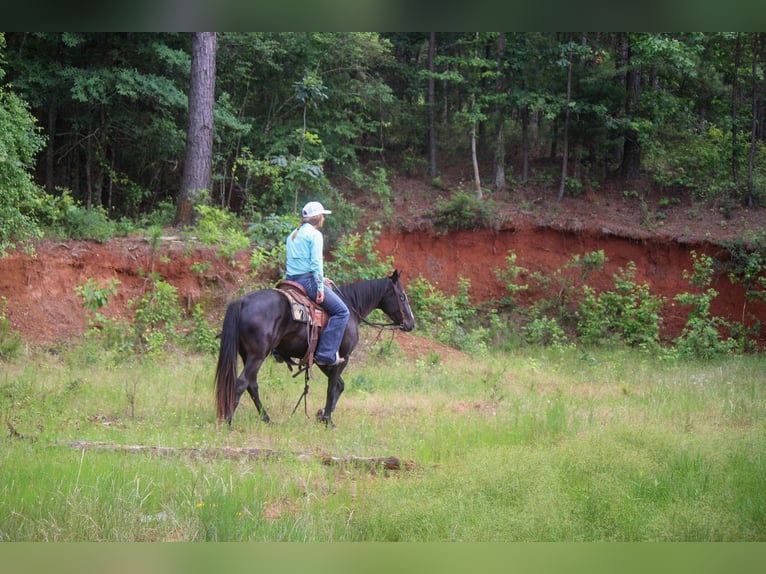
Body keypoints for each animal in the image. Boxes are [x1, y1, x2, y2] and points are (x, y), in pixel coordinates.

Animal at [216, 270, 416, 428]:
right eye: (402, 296)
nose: (411, 324)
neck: (351, 308)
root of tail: (242, 301)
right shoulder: (342, 357)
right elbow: (332, 387)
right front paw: (328, 420)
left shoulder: (321, 359)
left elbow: (340, 385)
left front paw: (321, 414)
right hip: (257, 355)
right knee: (242, 383)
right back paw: (228, 421)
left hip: (248, 355)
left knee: (252, 384)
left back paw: (267, 419)